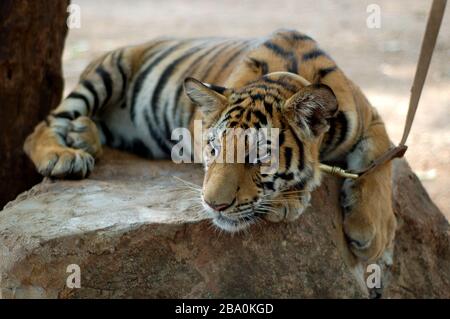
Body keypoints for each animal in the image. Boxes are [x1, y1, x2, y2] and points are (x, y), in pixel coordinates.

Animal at [25, 30, 398, 264]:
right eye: (214, 150)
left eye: (258, 157)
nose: (213, 205)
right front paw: (290, 201)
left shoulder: (373, 118)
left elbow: (381, 163)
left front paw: (373, 234)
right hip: (107, 70)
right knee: (43, 125)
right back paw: (63, 156)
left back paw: (82, 135)